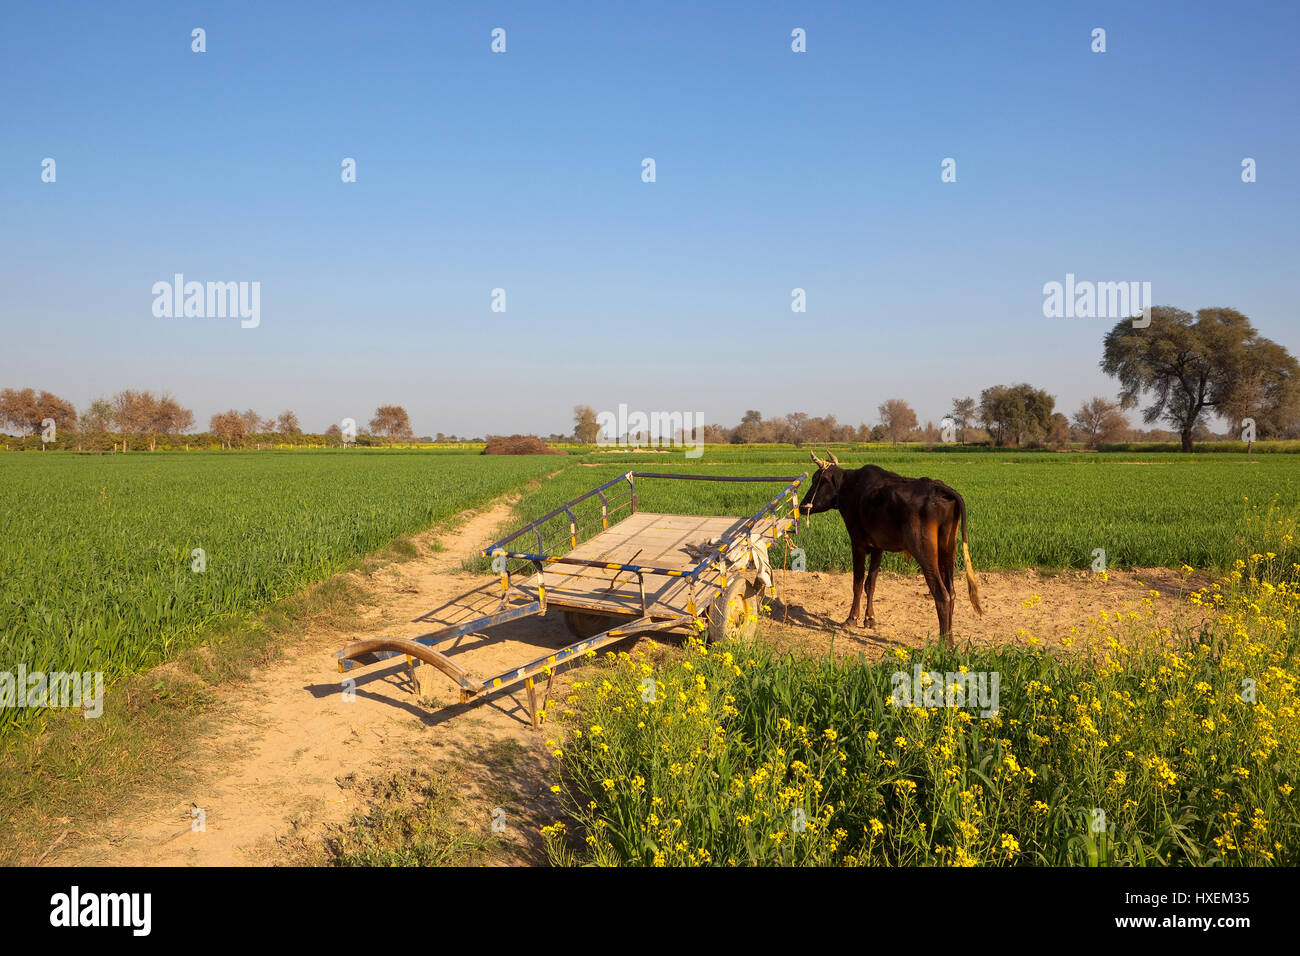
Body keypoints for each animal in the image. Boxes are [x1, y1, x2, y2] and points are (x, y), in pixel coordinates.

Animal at [790, 450, 982, 647]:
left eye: (816, 480)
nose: (802, 506)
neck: (849, 486)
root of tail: (939, 487)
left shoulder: (857, 543)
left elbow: (857, 582)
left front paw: (852, 618)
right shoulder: (877, 547)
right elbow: (871, 583)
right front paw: (869, 619)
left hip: (925, 552)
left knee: (942, 595)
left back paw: (944, 645)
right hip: (948, 551)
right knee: (952, 593)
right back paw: (951, 640)